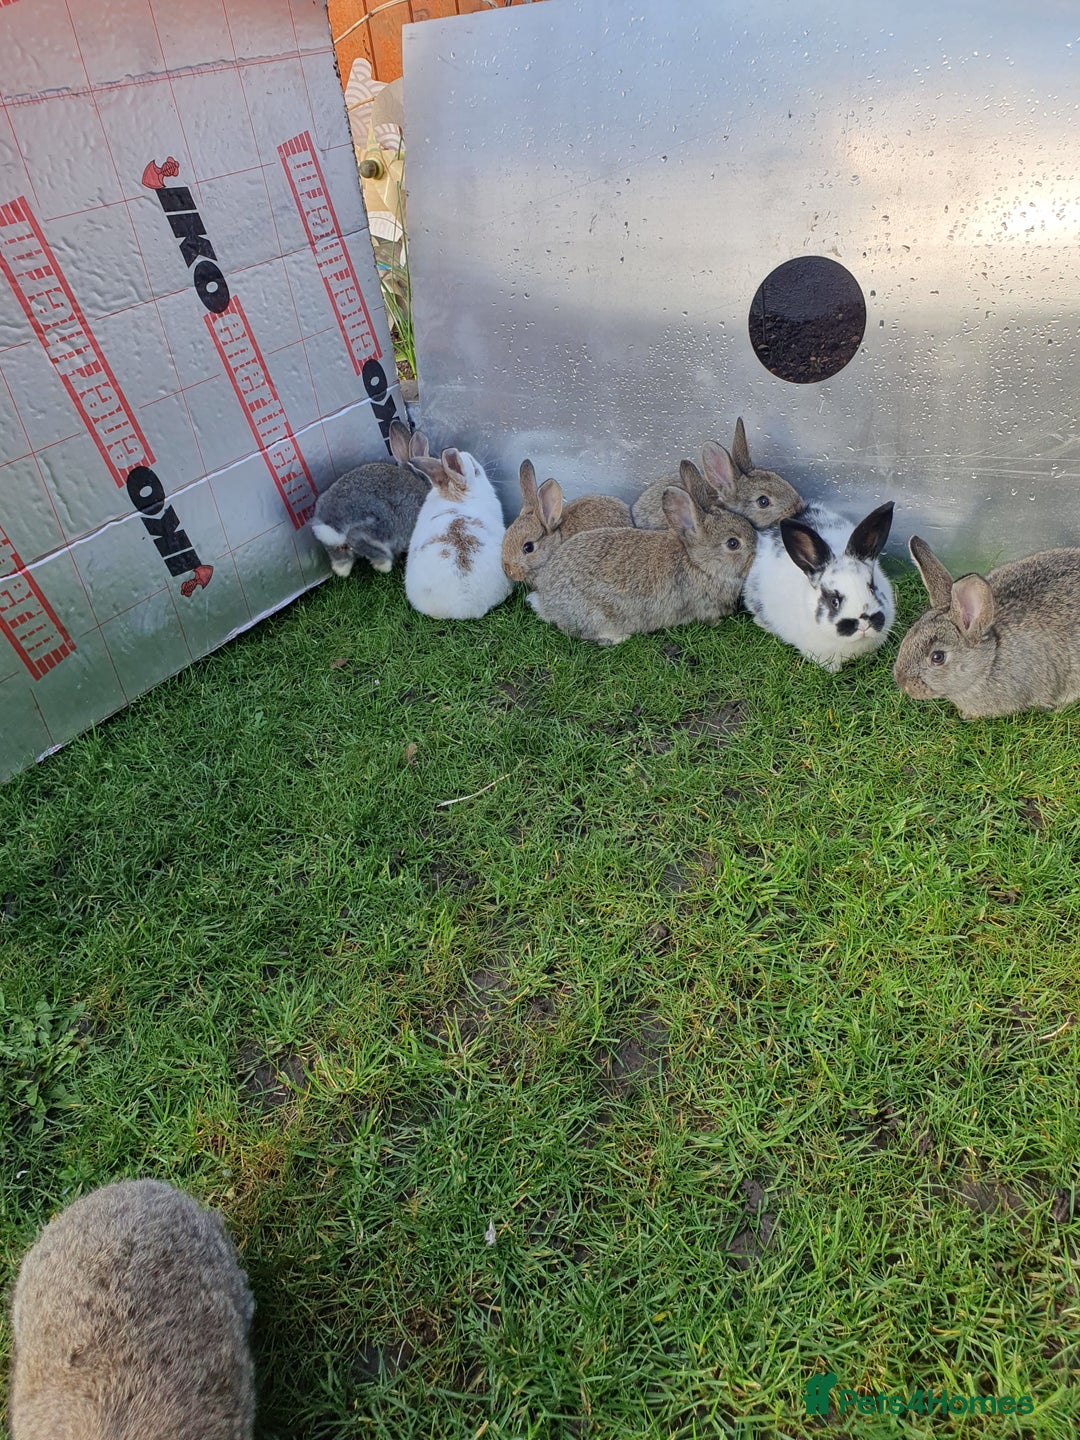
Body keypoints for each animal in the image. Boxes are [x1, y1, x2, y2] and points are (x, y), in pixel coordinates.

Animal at [311, 418, 429, 577]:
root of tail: (332, 525)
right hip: (381, 525)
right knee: (359, 539)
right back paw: (384, 565)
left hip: (335, 546)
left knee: (340, 560)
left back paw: (343, 570)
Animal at [527, 466, 756, 644]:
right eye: (733, 543)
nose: (755, 554)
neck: (699, 563)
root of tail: (546, 601)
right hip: (594, 616)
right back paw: (619, 637)